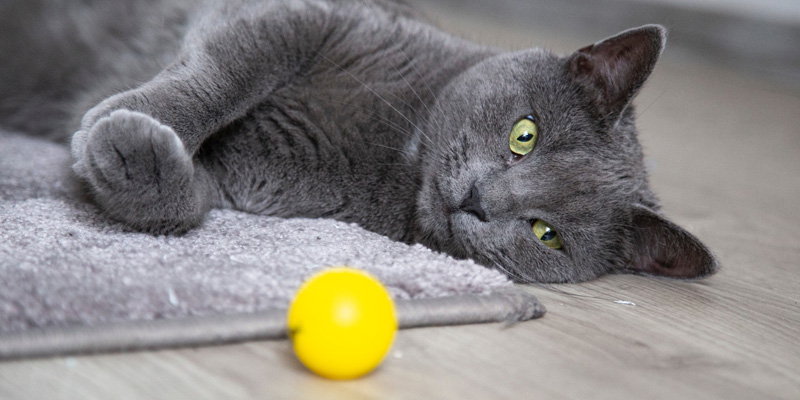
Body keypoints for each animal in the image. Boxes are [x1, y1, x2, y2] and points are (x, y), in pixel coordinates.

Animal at [0, 0, 716, 282]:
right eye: (525, 134)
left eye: (548, 234)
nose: (479, 201)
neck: (395, 146)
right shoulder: (300, 17)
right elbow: (226, 73)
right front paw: (125, 118)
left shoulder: (246, 183)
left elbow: (184, 202)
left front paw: (132, 156)